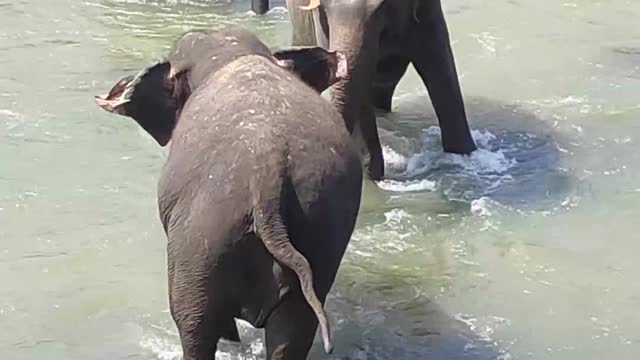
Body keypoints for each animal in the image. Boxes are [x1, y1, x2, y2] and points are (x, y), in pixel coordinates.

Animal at [95, 26, 364, 358]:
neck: (231, 53)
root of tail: (267, 175)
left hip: (201, 236)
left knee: (194, 323)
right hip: (321, 227)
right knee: (294, 328)